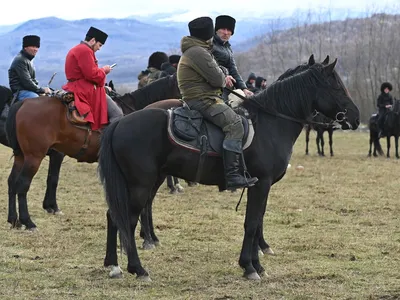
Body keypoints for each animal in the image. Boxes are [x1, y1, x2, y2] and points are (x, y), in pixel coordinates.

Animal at [3, 74, 180, 230]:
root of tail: (23, 104)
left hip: (21, 156)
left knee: (12, 182)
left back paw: (14, 220)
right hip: (34, 157)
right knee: (22, 184)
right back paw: (28, 222)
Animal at [98, 59, 360, 282]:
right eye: (337, 86)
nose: (356, 118)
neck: (270, 123)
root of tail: (120, 123)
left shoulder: (259, 186)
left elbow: (256, 220)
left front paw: (256, 263)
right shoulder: (261, 183)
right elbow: (252, 223)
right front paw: (250, 267)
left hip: (145, 181)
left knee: (115, 216)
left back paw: (114, 265)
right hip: (140, 184)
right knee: (128, 219)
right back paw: (138, 269)